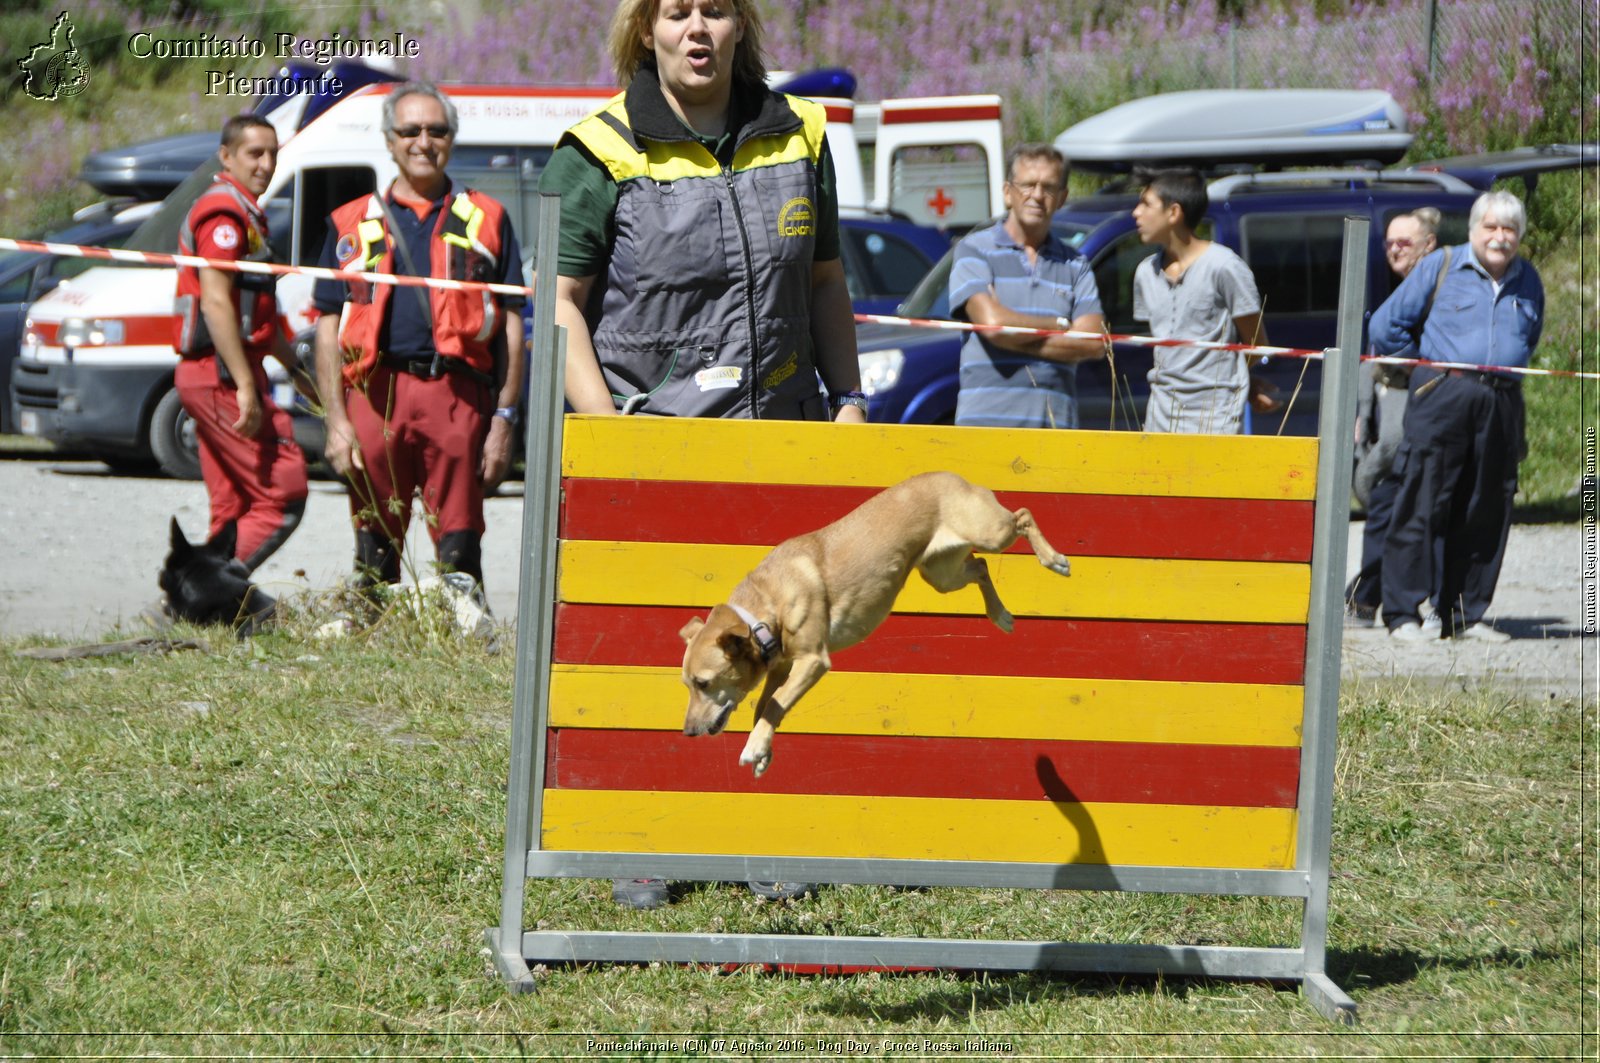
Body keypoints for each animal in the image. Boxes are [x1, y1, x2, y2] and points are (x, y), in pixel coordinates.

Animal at [681, 470, 1068, 771]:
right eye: (687, 685)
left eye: (703, 683)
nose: (687, 732)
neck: (765, 607)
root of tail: (953, 476)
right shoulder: (780, 666)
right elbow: (766, 705)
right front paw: (763, 751)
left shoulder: (812, 660)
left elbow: (775, 703)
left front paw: (754, 748)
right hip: (942, 573)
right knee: (981, 567)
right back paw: (999, 614)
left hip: (990, 532)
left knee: (1022, 516)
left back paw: (1054, 559)